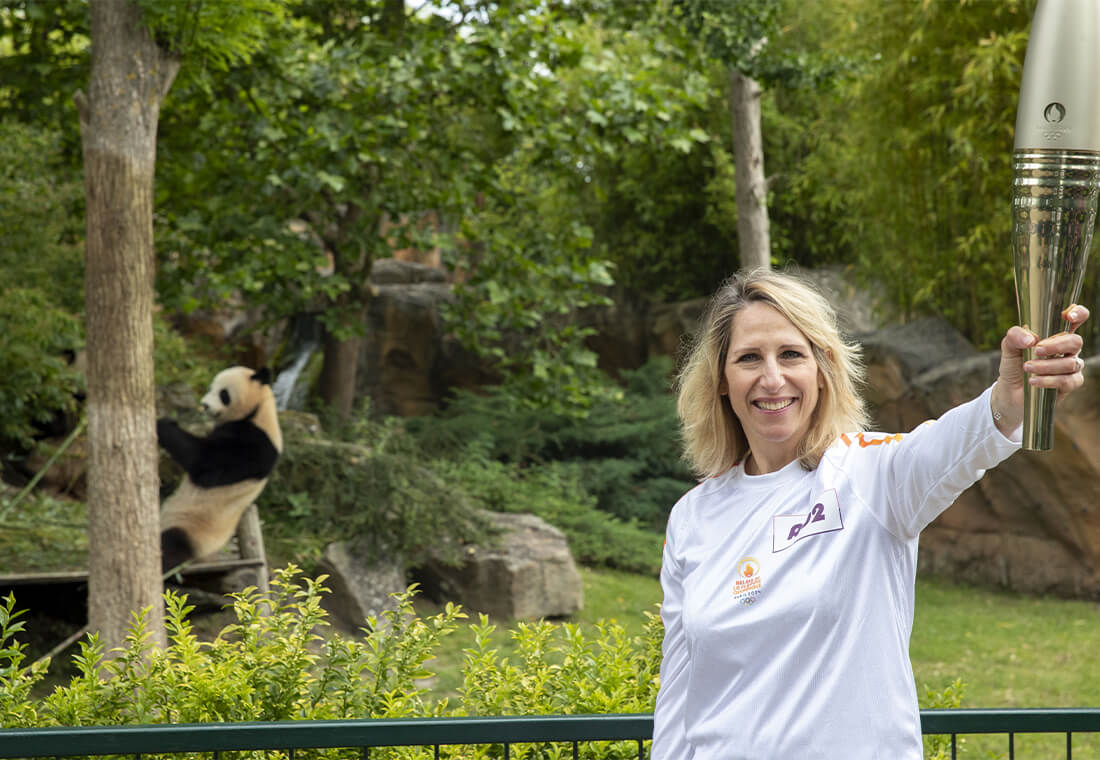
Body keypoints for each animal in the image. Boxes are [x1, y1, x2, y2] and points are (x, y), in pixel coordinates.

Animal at [157, 365, 283, 571]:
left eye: (224, 394)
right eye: (210, 388)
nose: (205, 405)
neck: (258, 412)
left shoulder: (255, 445)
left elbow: (205, 463)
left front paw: (162, 424)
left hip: (194, 530)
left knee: (171, 546)